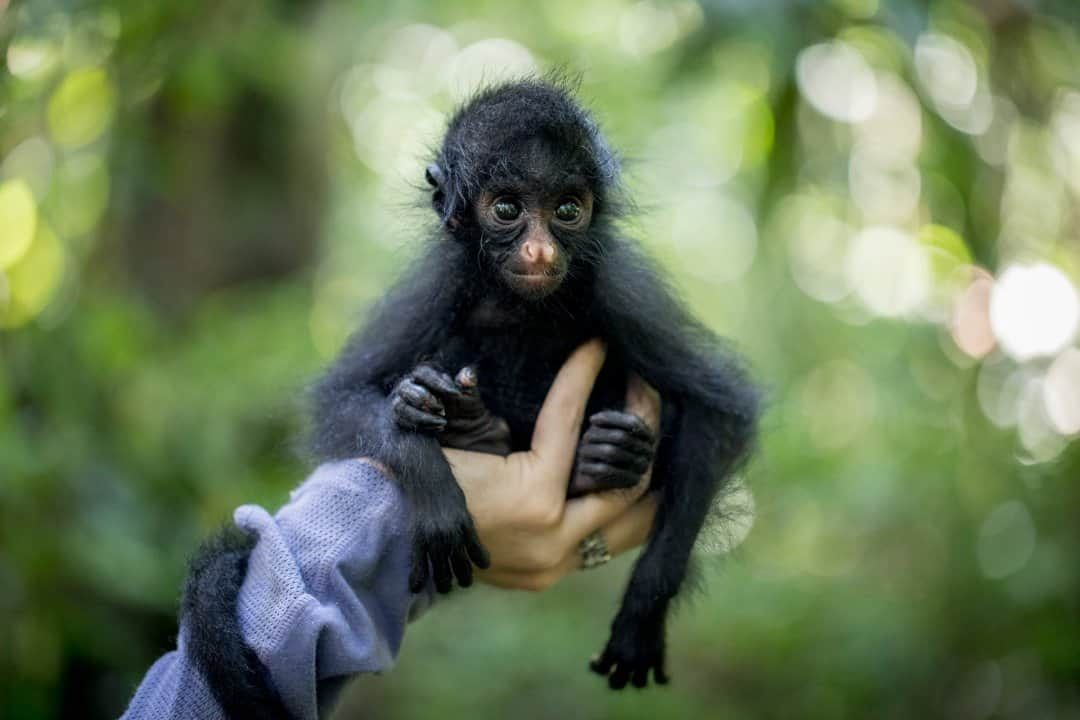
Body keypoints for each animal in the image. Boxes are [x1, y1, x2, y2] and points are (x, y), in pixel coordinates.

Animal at [315, 76, 760, 690]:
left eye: (567, 209)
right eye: (507, 208)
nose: (540, 249)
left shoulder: (614, 282)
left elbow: (721, 408)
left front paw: (641, 616)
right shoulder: (446, 275)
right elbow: (341, 395)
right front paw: (435, 487)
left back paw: (605, 456)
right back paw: (476, 429)